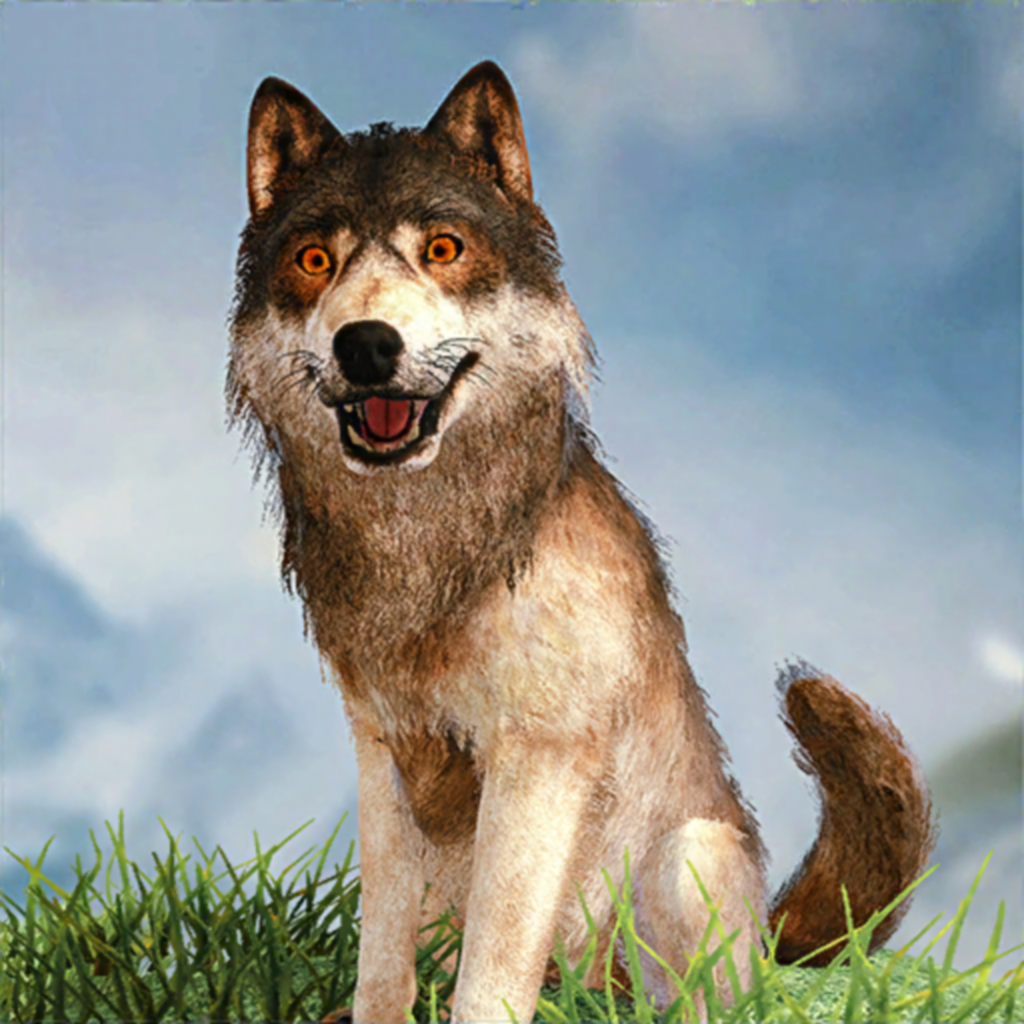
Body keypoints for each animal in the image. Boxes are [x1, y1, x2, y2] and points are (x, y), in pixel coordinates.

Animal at [227, 61, 937, 1023]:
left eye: (442, 249)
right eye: (314, 261)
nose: (366, 345)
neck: (436, 552)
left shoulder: (538, 756)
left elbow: (493, 971)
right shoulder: (384, 753)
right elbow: (381, 954)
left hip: (686, 857)